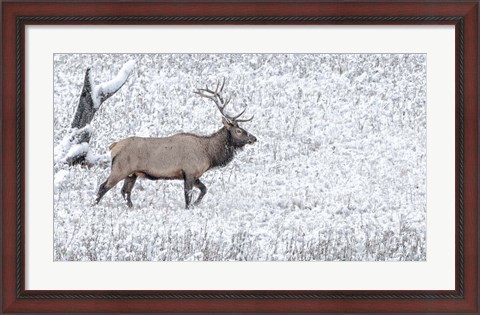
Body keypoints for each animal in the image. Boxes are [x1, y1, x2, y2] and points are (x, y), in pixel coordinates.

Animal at [95, 81, 256, 210]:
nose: (253, 138)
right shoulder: (189, 171)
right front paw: (190, 207)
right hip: (119, 169)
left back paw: (131, 207)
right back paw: (94, 205)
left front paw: (196, 204)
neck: (209, 154)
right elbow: (188, 196)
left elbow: (204, 189)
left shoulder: (194, 175)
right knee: (103, 187)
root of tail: (113, 146)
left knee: (125, 192)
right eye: (239, 130)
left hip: (132, 174)